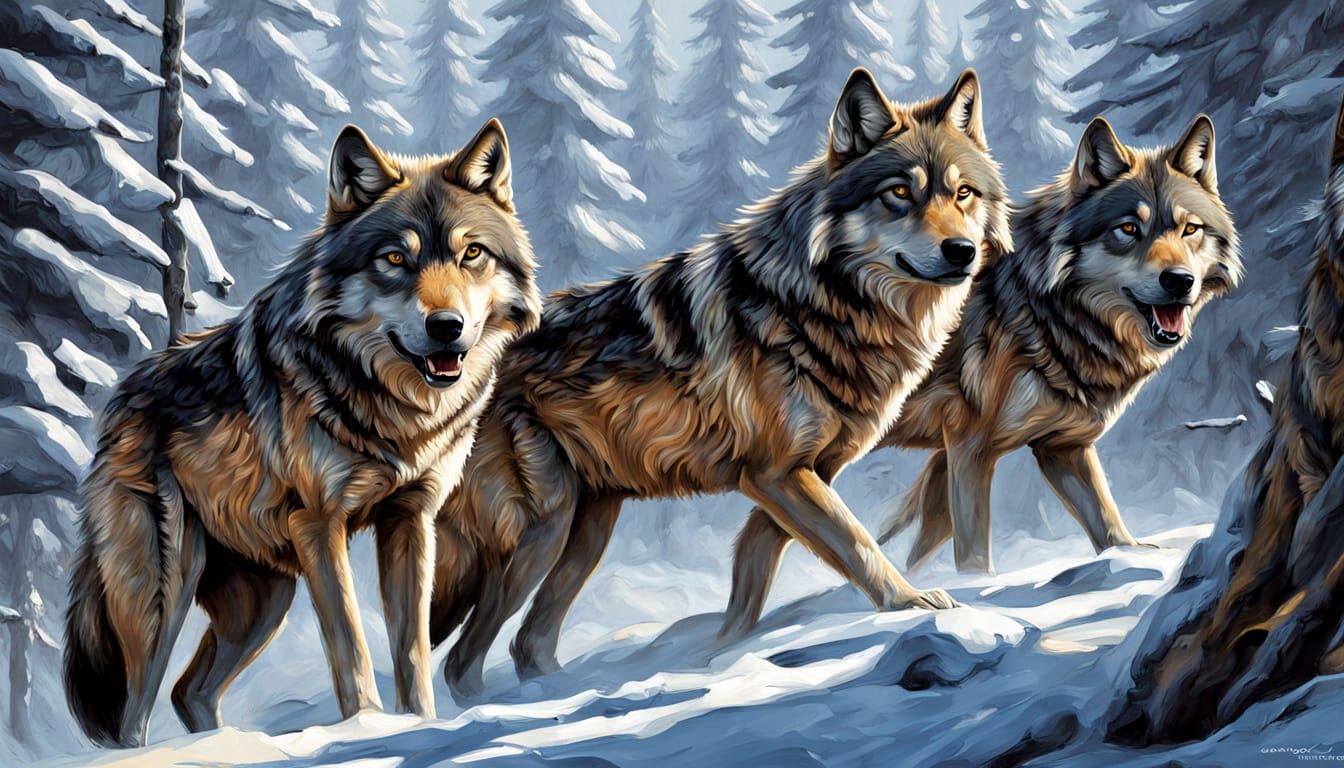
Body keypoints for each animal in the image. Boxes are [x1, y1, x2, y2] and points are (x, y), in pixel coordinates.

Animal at [62, 119, 541, 747]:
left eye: (472, 253)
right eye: (395, 258)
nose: (447, 327)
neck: (390, 408)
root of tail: (118, 401)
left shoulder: (411, 518)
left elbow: (412, 649)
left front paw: (419, 726)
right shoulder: (319, 525)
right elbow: (352, 647)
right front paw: (366, 729)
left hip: (263, 600)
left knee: (189, 691)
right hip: (160, 596)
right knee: (133, 713)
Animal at [428, 68, 1013, 701]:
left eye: (963, 194)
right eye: (900, 193)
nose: (962, 251)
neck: (826, 306)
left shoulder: (798, 476)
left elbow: (755, 567)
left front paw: (723, 654)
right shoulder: (777, 474)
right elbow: (859, 543)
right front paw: (910, 602)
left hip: (585, 533)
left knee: (528, 643)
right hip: (541, 529)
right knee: (462, 657)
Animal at [725, 113, 1243, 632]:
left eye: (1190, 229)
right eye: (1129, 228)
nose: (1179, 281)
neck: (1045, 306)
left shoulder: (1058, 447)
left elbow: (1107, 523)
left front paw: (1132, 560)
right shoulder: (970, 447)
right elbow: (972, 552)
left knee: (757, 540)